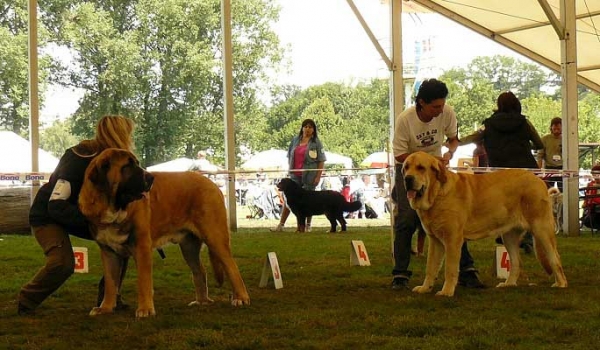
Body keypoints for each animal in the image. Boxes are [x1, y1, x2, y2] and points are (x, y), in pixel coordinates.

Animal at [79, 148, 248, 318]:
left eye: (136, 163)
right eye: (128, 166)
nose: (151, 177)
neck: (112, 206)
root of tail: (211, 184)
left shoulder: (142, 248)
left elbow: (143, 282)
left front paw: (145, 309)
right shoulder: (108, 252)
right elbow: (110, 283)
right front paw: (105, 308)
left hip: (215, 237)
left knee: (232, 267)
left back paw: (240, 298)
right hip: (189, 247)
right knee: (200, 271)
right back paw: (201, 301)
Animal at [404, 152, 568, 296]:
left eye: (421, 168)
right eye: (406, 167)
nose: (407, 178)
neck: (437, 194)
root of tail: (538, 179)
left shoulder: (452, 240)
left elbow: (449, 269)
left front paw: (447, 291)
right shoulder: (435, 241)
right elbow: (431, 268)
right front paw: (425, 288)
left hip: (541, 230)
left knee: (555, 258)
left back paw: (561, 283)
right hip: (509, 237)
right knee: (516, 262)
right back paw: (508, 284)